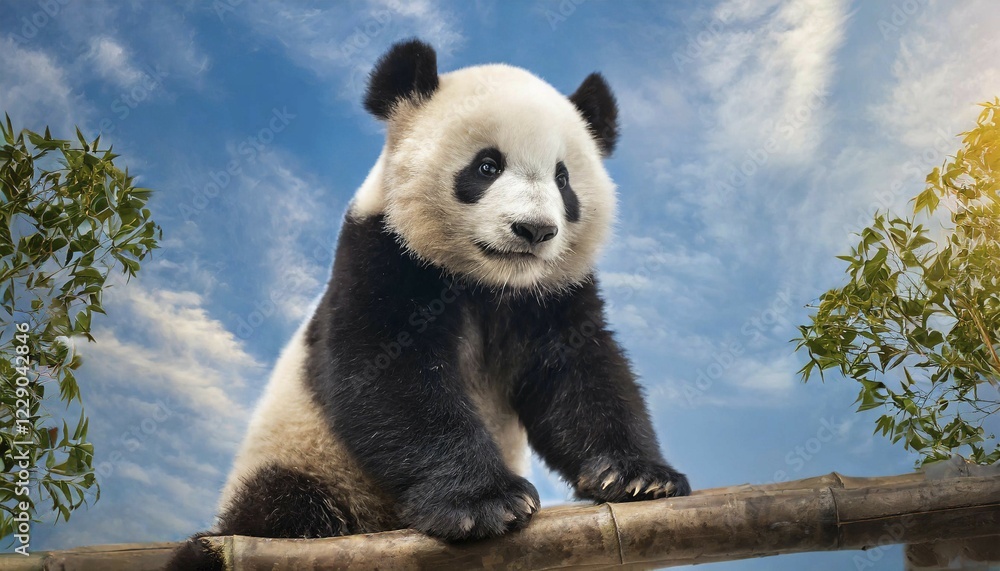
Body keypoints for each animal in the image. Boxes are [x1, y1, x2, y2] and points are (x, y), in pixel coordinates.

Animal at [169, 39, 689, 570]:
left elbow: (579, 374)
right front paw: (484, 502)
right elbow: (389, 377)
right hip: (305, 463)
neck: (489, 282)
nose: (535, 230)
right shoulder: (383, 256)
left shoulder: (550, 296)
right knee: (278, 510)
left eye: (563, 180)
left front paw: (639, 477)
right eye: (487, 166)